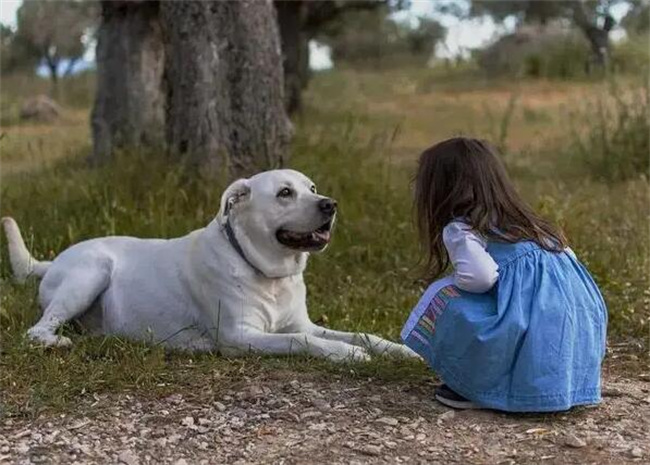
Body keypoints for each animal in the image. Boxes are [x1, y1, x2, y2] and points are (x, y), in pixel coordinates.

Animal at [3, 169, 416, 360]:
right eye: (284, 193)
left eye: (312, 188)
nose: (330, 204)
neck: (268, 273)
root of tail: (52, 261)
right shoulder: (240, 336)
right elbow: (302, 341)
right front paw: (345, 354)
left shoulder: (303, 322)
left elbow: (360, 334)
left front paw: (399, 350)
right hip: (91, 272)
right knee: (36, 330)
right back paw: (57, 342)